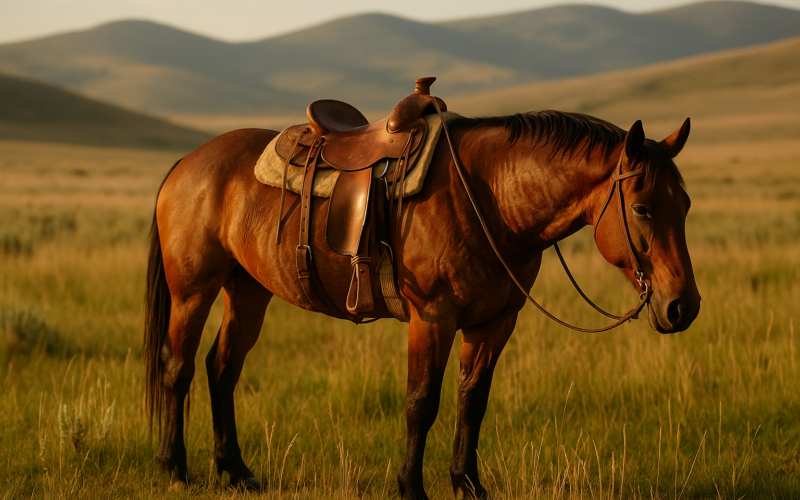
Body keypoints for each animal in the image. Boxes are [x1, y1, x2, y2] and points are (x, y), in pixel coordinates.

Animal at [144, 109, 700, 499]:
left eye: (686, 204)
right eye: (643, 208)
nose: (683, 306)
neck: (489, 200)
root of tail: (187, 162)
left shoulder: (494, 323)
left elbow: (472, 401)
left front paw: (468, 484)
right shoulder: (432, 318)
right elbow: (421, 402)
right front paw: (412, 487)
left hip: (248, 291)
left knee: (222, 368)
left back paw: (235, 470)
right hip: (193, 291)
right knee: (178, 368)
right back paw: (175, 469)